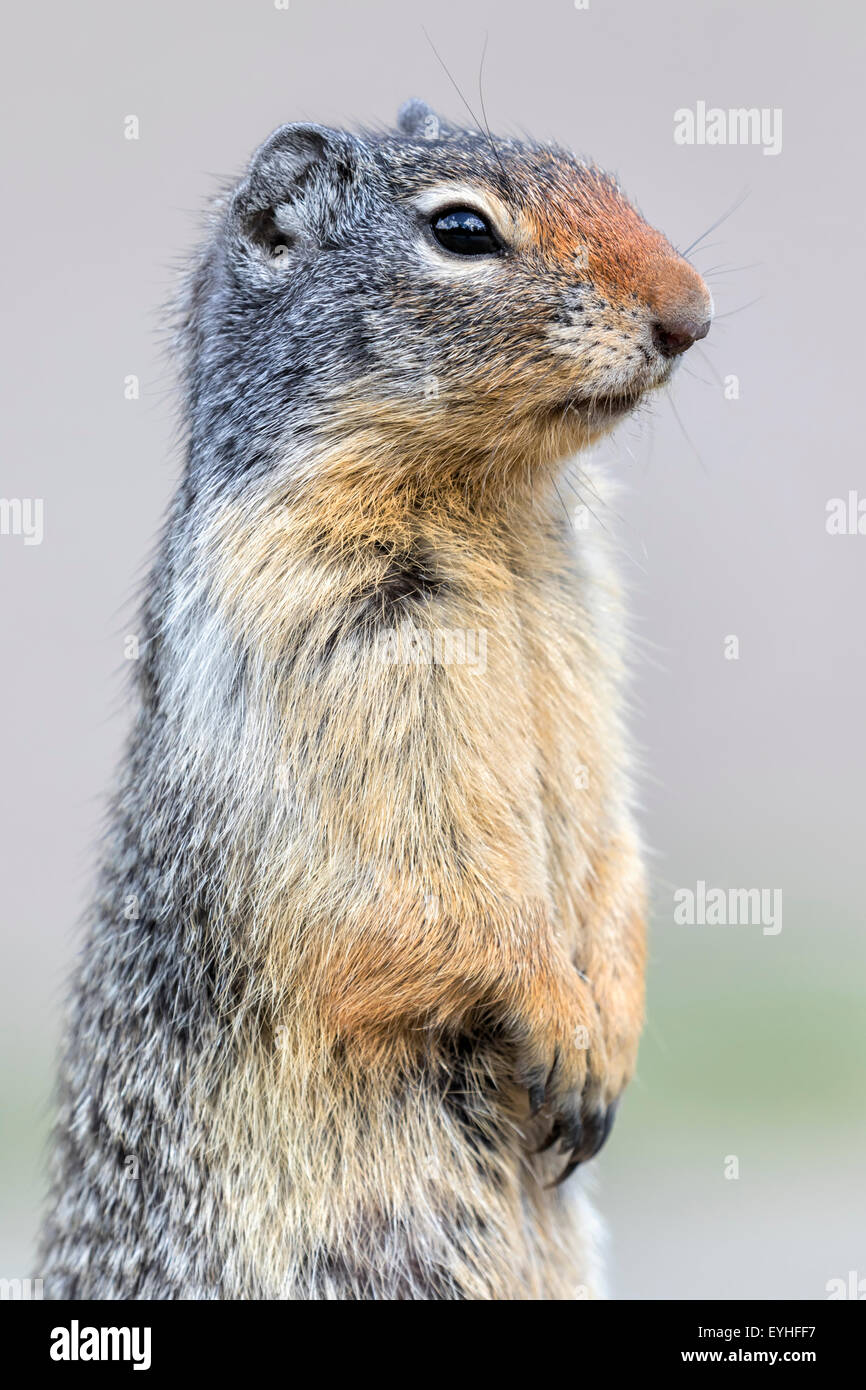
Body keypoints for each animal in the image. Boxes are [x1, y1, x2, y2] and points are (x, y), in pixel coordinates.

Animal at [38, 100, 711, 1301]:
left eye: (595, 171)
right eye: (461, 230)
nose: (693, 313)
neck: (493, 505)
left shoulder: (588, 642)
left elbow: (608, 833)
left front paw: (611, 1029)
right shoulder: (327, 636)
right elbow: (421, 868)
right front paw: (561, 1022)